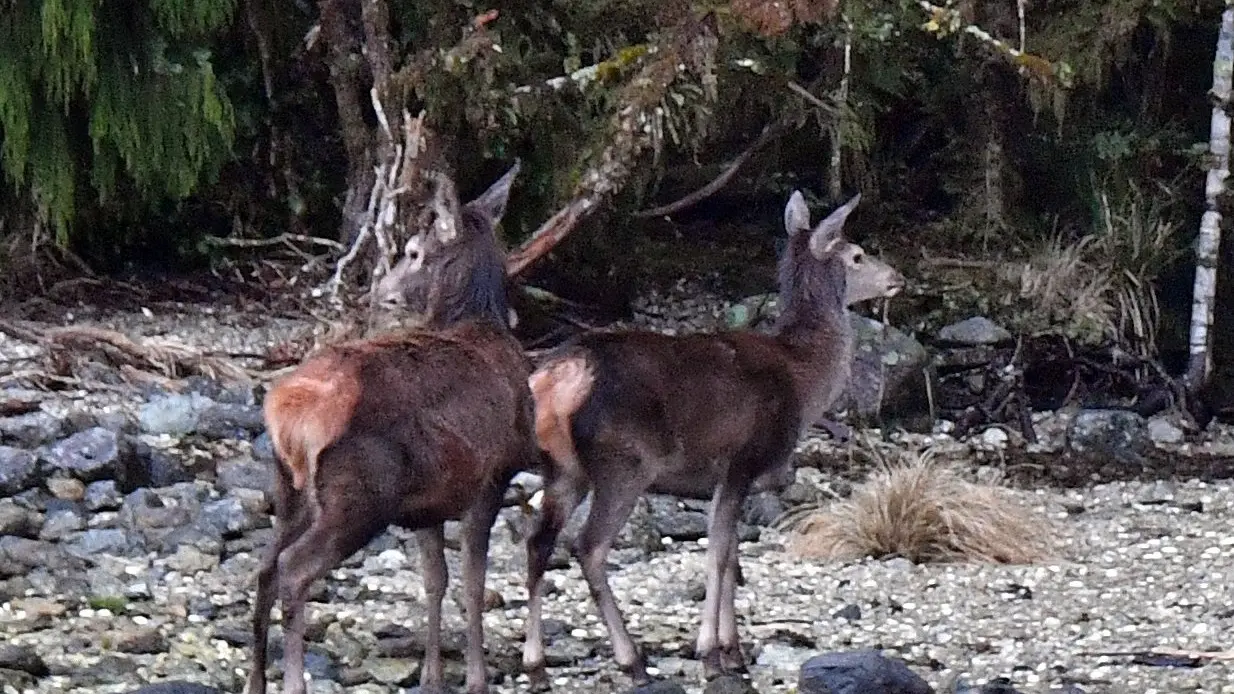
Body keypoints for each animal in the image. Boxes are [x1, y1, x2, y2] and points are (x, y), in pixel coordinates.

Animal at [246, 162, 539, 694]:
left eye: (414, 252)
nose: (380, 293)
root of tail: (286, 412)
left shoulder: (432, 500)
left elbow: (436, 580)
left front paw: (432, 676)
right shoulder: (493, 474)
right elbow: (473, 580)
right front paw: (476, 678)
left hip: (290, 489)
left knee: (263, 569)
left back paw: (254, 682)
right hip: (360, 494)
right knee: (292, 571)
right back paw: (294, 682)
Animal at [520, 190, 905, 687]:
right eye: (857, 255)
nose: (896, 278)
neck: (804, 378)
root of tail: (555, 378)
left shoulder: (726, 476)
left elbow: (731, 550)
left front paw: (732, 649)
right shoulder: (745, 457)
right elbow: (720, 552)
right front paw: (712, 653)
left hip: (563, 468)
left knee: (538, 543)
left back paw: (536, 665)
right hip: (623, 462)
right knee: (588, 547)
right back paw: (631, 660)